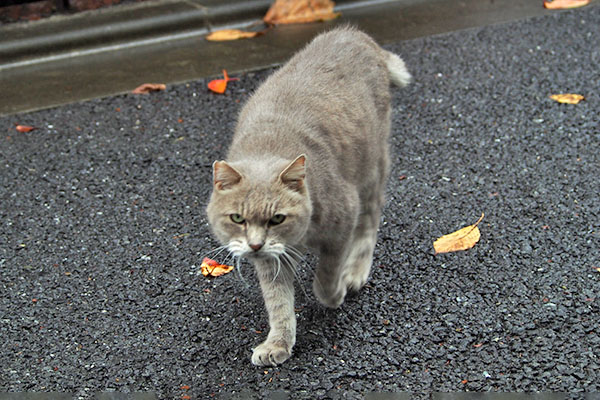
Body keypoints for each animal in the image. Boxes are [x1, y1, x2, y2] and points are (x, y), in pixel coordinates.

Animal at [204, 26, 410, 368]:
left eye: (277, 218)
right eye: (237, 218)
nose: (255, 245)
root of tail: (356, 35)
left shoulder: (343, 219)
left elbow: (327, 273)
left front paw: (334, 294)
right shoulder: (271, 263)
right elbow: (278, 303)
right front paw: (278, 344)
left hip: (372, 169)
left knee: (369, 225)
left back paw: (355, 273)